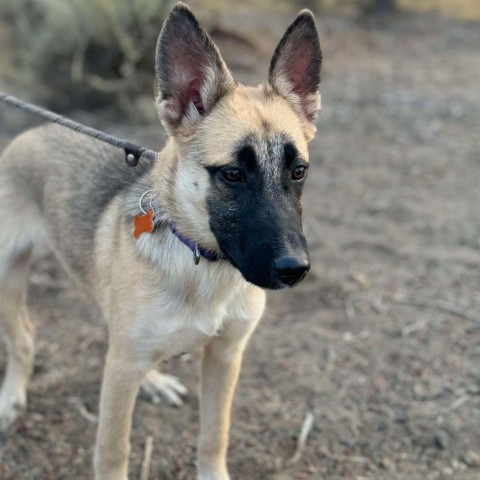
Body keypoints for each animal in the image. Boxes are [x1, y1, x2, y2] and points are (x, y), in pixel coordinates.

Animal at [0, 4, 322, 480]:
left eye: (298, 171)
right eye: (232, 174)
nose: (295, 269)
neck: (202, 263)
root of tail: (33, 132)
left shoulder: (226, 355)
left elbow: (214, 436)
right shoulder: (120, 377)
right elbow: (113, 452)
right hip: (9, 280)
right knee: (23, 337)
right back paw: (13, 396)